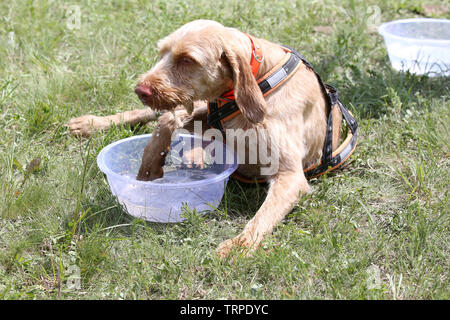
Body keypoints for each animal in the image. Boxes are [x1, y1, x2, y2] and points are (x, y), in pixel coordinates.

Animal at [69, 20, 348, 258]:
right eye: (162, 53)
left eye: (187, 59)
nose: (141, 90)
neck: (259, 78)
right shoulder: (204, 109)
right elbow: (166, 120)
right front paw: (149, 165)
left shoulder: (290, 176)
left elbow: (262, 216)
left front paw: (239, 245)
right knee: (154, 114)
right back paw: (91, 123)